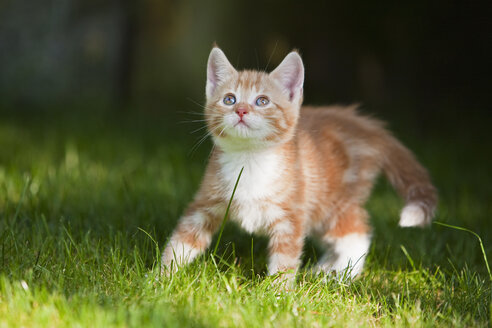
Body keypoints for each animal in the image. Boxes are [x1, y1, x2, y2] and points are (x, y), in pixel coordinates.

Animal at [162, 46, 438, 280]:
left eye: (262, 101)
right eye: (229, 99)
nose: (240, 110)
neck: (250, 158)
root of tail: (365, 125)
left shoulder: (291, 214)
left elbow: (284, 259)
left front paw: (277, 294)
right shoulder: (205, 204)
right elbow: (181, 241)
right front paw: (161, 279)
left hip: (333, 201)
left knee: (356, 232)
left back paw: (343, 275)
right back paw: (324, 269)